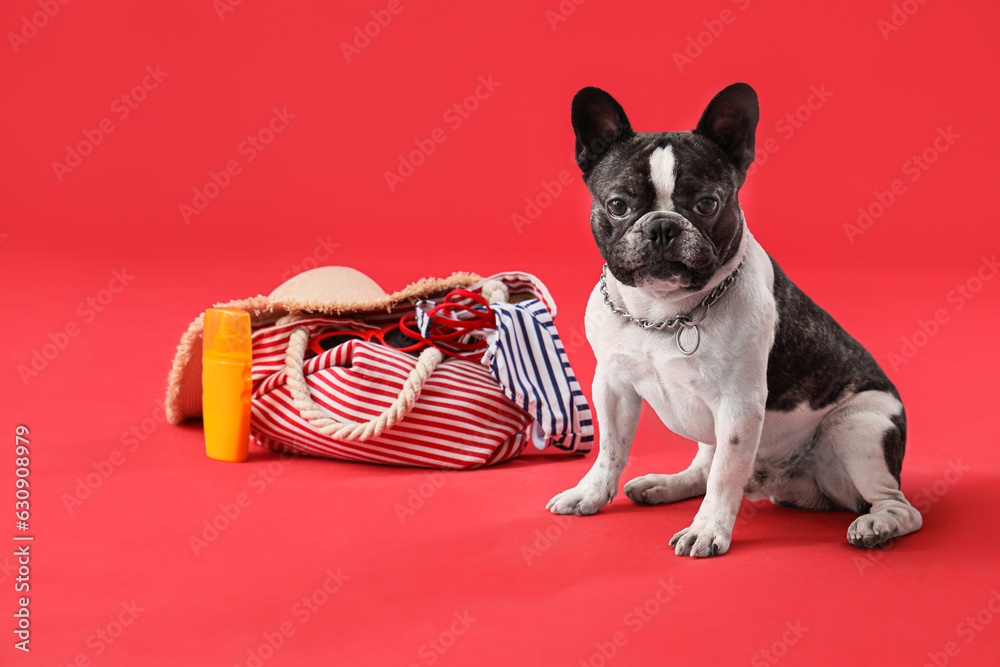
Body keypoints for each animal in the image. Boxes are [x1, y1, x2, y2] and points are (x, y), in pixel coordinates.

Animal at [548, 83, 920, 556]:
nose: (663, 226)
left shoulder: (738, 406)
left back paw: (877, 525)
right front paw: (591, 493)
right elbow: (611, 449)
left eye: (707, 204)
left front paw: (708, 530)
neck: (662, 313)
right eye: (617, 205)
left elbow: (726, 473)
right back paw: (667, 484)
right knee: (705, 465)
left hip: (860, 427)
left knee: (899, 505)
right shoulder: (612, 387)